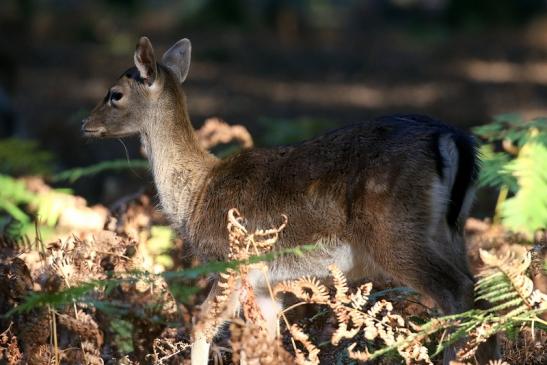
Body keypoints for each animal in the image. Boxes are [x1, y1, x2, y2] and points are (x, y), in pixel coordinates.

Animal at [82, 34, 500, 364]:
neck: (195, 197)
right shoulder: (266, 283)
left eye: (115, 94)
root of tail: (454, 139)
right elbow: (265, 342)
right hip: (450, 231)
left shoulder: (231, 259)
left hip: (395, 231)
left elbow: (201, 324)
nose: (86, 124)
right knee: (481, 288)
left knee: (457, 291)